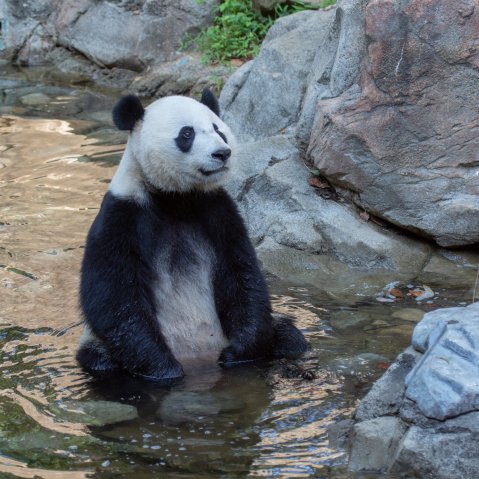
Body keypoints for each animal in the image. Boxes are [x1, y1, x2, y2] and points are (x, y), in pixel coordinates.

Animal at [76, 89, 306, 382]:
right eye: (187, 134)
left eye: (218, 129)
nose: (222, 153)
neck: (176, 197)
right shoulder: (123, 214)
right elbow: (113, 293)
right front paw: (163, 368)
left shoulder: (218, 212)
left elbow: (242, 275)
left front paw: (238, 354)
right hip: (100, 346)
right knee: (100, 361)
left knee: (290, 336)